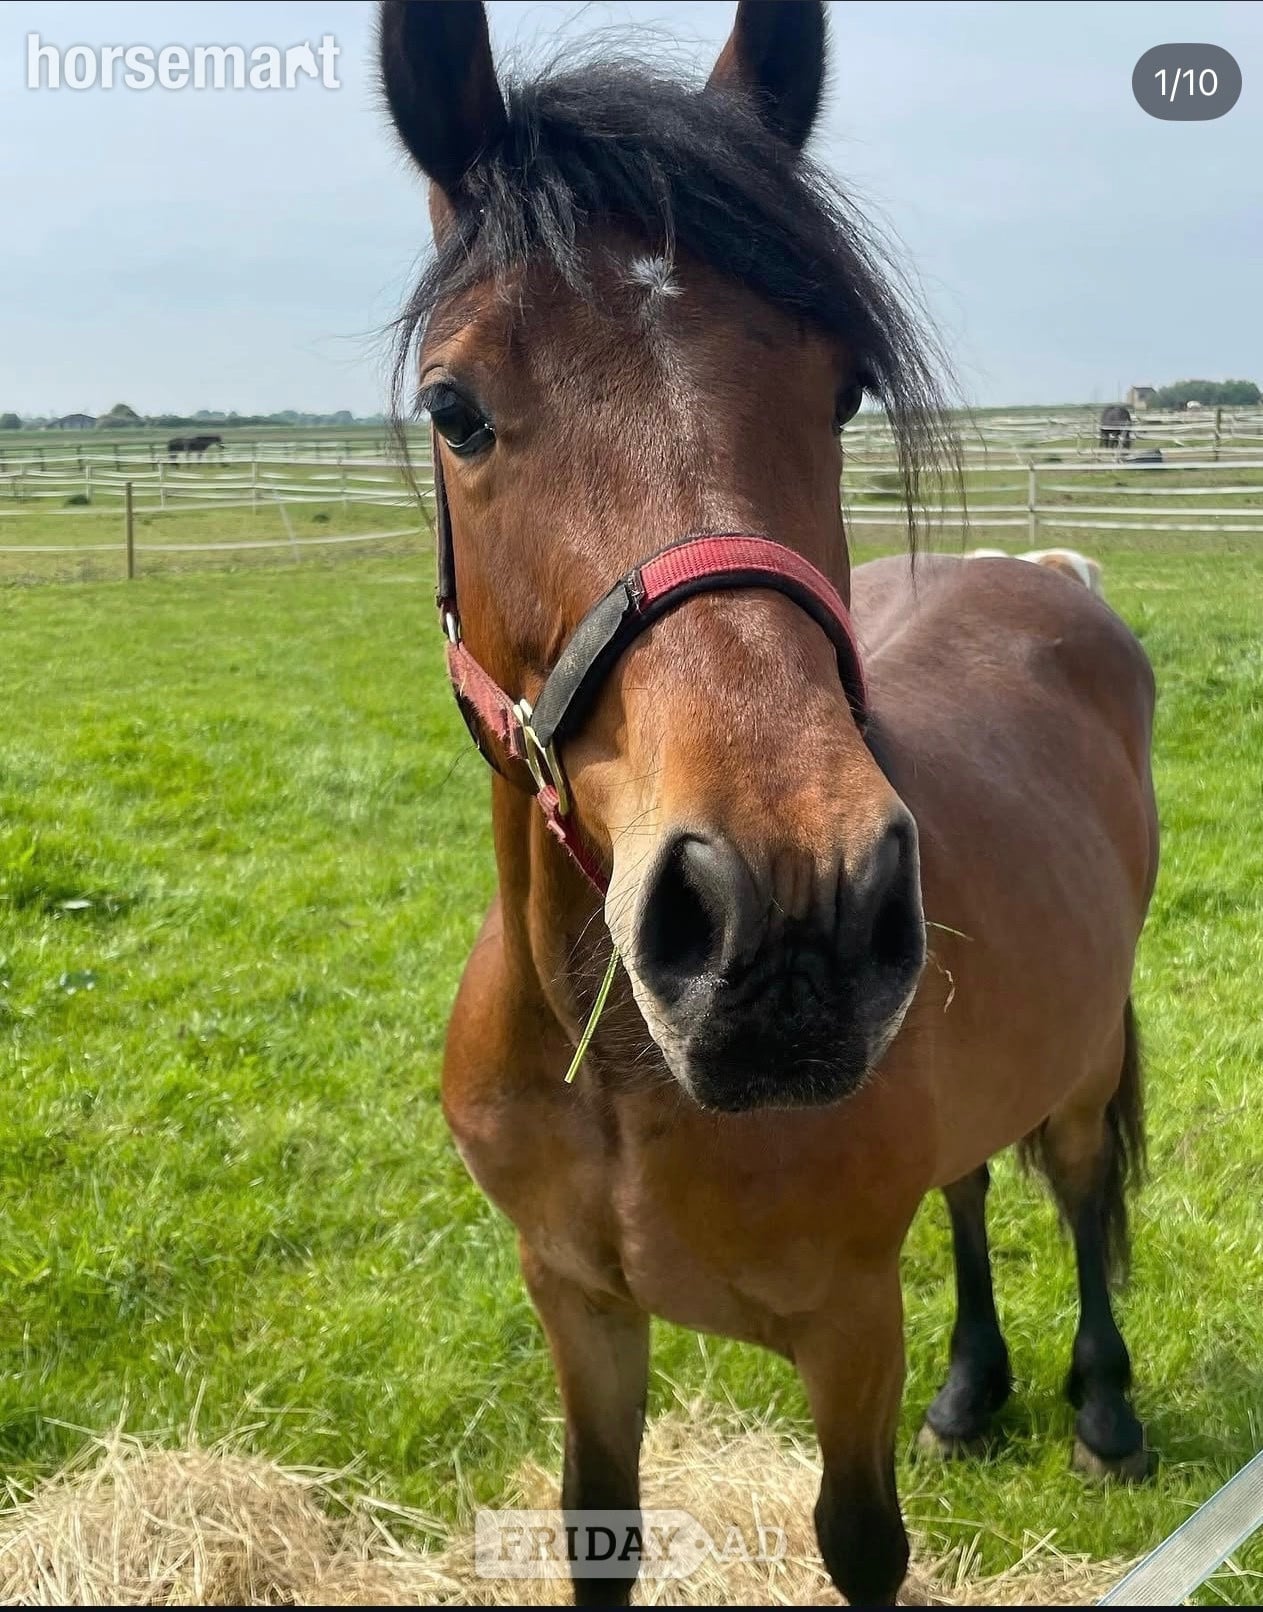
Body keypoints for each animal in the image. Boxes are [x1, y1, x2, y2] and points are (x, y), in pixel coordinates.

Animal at [378, 3, 1159, 1603]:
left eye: (840, 389)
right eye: (455, 408)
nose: (790, 913)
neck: (621, 1076)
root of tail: (1045, 574)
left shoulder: (847, 1325)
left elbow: (859, 1544)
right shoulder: (577, 1308)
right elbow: (597, 1530)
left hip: (1077, 1061)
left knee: (1068, 1186)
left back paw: (1101, 1409)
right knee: (970, 1187)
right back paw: (972, 1390)